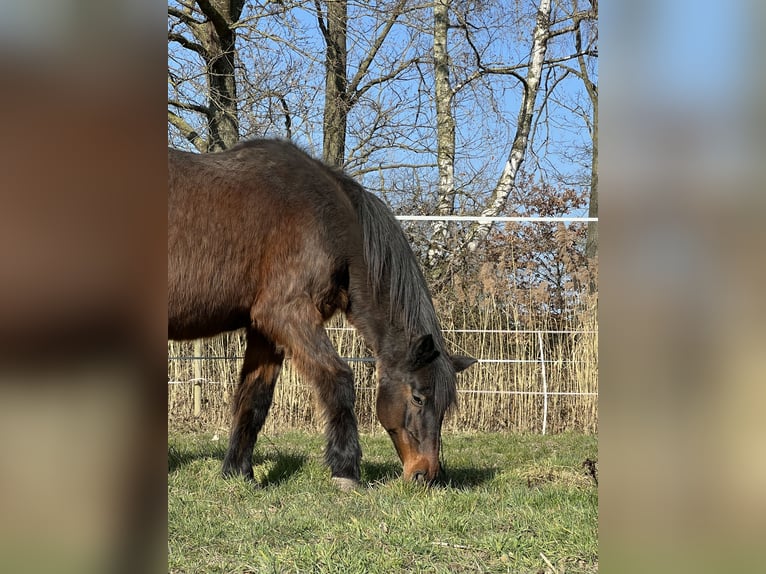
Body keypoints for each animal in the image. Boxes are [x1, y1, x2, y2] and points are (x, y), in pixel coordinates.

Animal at [168, 139, 476, 489]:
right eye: (419, 398)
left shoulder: (264, 329)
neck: (330, 221)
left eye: (444, 407)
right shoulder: (287, 315)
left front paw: (238, 473)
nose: (425, 474)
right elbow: (338, 378)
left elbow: (254, 398)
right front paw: (346, 470)